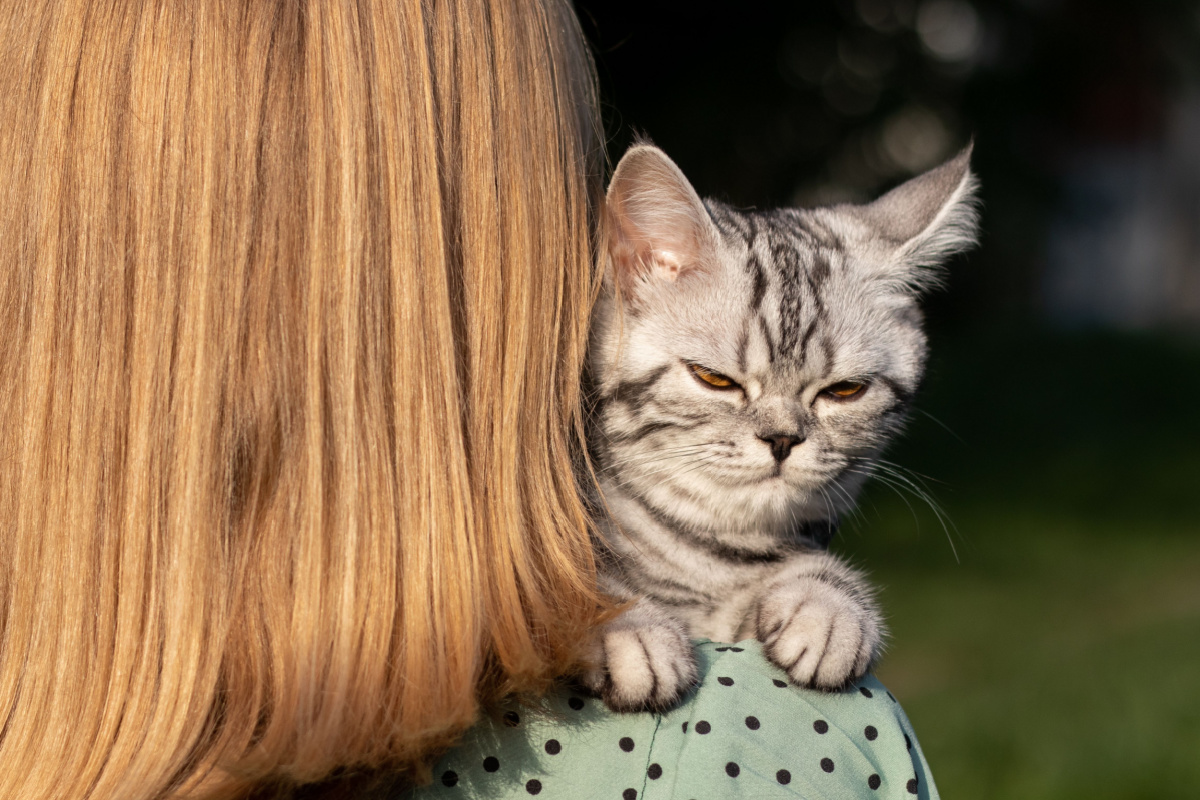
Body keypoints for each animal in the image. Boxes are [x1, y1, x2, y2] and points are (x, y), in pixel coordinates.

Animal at [578, 142, 974, 714]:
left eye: (844, 390)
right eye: (714, 379)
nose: (782, 440)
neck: (714, 557)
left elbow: (811, 567)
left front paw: (830, 603)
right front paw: (630, 627)